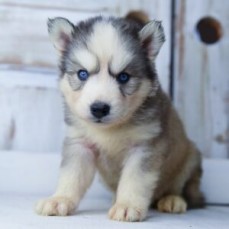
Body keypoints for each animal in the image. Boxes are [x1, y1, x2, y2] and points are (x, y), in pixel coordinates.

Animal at [35, 13, 204, 222]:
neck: (109, 129)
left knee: (183, 189)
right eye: (82, 74)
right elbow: (72, 175)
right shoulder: (80, 144)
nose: (99, 108)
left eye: (124, 77)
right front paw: (60, 199)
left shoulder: (144, 147)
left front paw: (127, 205)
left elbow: (134, 180)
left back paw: (173, 200)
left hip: (188, 158)